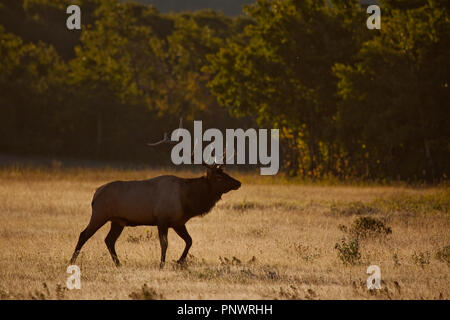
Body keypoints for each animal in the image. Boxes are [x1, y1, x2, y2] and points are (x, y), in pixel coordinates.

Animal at [69, 122, 241, 268]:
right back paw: (72, 261)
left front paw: (179, 261)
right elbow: (164, 244)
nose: (238, 183)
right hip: (100, 214)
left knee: (109, 240)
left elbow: (190, 241)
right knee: (84, 235)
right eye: (219, 177)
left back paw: (119, 264)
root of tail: (95, 194)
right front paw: (162, 265)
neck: (187, 201)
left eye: (225, 173)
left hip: (118, 221)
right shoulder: (162, 218)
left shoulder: (178, 222)